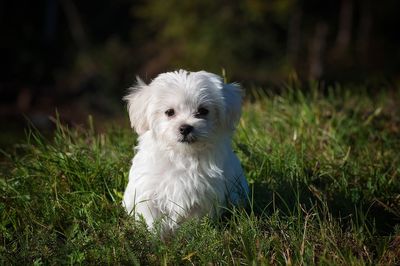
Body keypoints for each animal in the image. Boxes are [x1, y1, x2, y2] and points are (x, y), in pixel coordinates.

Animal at [122, 69, 248, 234]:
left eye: (203, 111)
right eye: (169, 112)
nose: (185, 128)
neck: (182, 155)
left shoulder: (203, 195)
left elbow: (194, 219)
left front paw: (190, 233)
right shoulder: (148, 191)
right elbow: (152, 217)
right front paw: (157, 235)